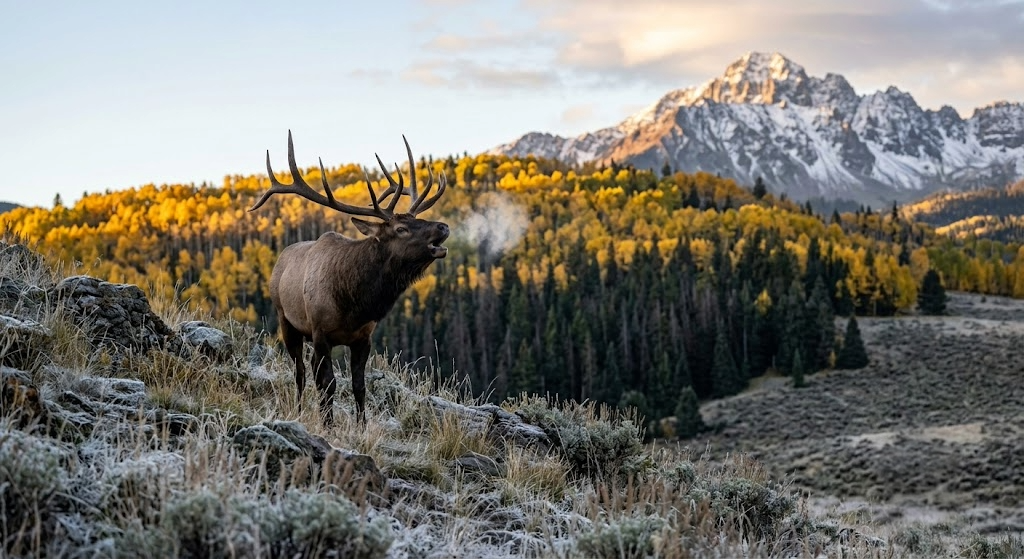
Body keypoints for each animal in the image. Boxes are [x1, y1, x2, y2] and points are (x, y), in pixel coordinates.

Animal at [249, 131, 449, 426]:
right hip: (286, 321)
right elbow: (329, 383)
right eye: (401, 229)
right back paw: (299, 410)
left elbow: (359, 386)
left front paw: (361, 426)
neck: (353, 304)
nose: (443, 226)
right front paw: (328, 425)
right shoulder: (321, 332)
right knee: (300, 372)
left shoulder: (363, 337)